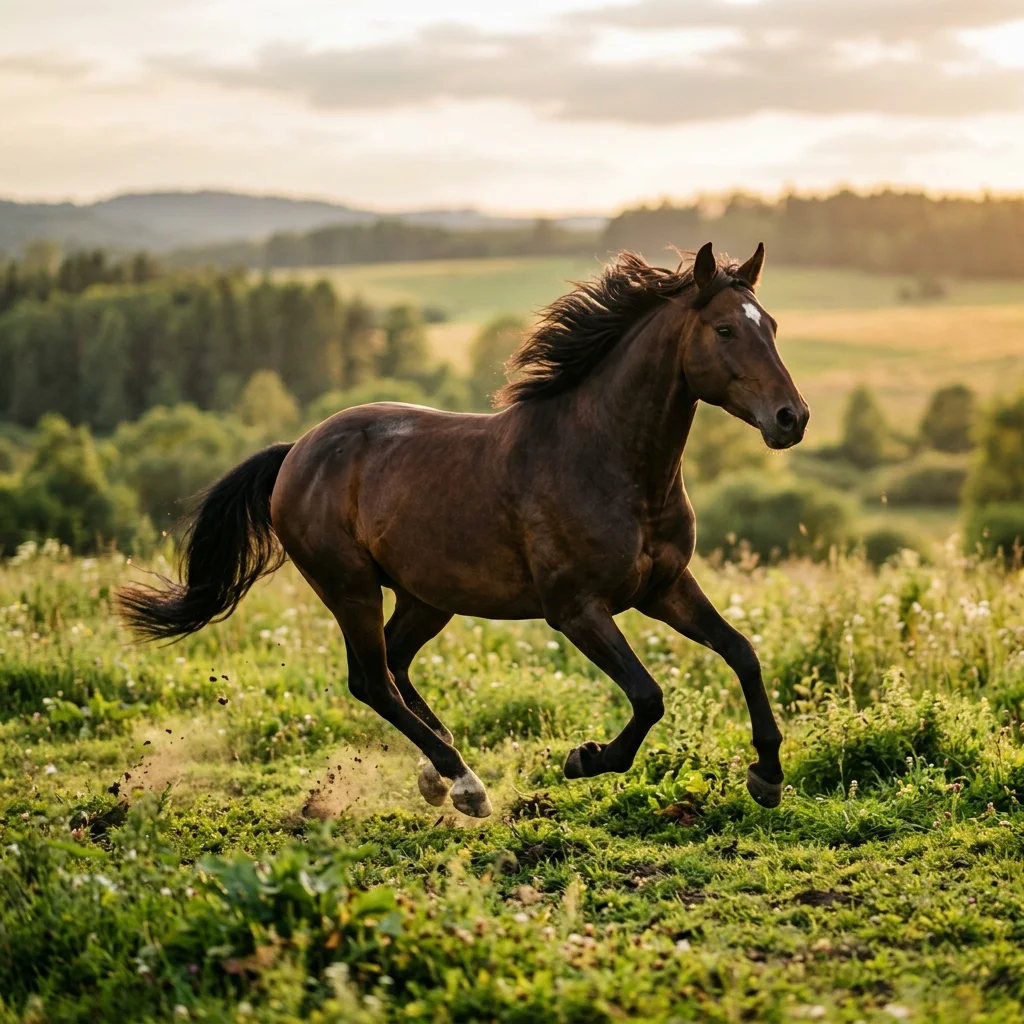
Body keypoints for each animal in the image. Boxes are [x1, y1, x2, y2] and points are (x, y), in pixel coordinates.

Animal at [118, 242, 809, 818]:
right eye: (724, 329)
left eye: (772, 326)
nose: (791, 418)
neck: (609, 461)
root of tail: (296, 452)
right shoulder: (576, 608)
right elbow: (648, 695)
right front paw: (586, 758)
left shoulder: (664, 588)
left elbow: (742, 652)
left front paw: (768, 777)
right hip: (349, 586)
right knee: (372, 680)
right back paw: (465, 783)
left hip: (427, 596)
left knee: (394, 666)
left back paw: (439, 771)